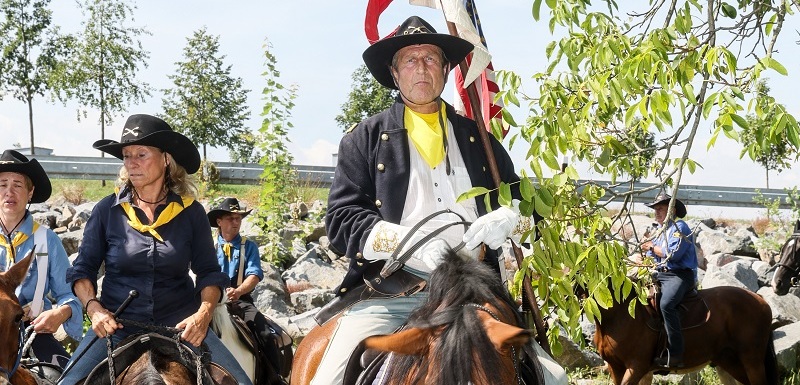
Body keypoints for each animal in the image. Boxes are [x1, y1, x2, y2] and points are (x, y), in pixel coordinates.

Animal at [592, 280, 780, 384]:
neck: (619, 314)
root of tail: (759, 299)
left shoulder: (636, 367)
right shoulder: (616, 367)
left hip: (752, 361)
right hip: (728, 361)